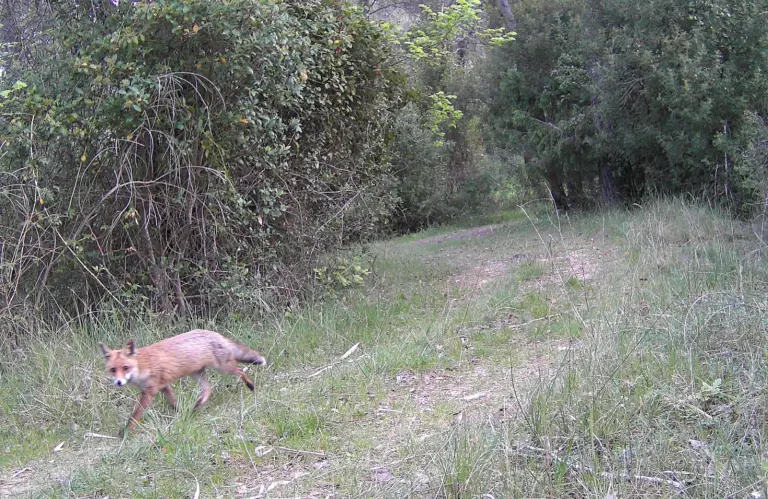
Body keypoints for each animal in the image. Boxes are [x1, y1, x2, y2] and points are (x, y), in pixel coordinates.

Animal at [98, 329, 266, 436]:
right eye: (113, 370)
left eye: (125, 368)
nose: (119, 382)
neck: (142, 366)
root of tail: (215, 333)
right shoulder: (164, 386)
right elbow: (174, 403)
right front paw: (182, 414)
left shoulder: (150, 391)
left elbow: (135, 415)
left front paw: (125, 433)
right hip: (196, 374)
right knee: (209, 389)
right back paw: (196, 407)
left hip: (224, 368)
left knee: (240, 370)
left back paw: (251, 385)